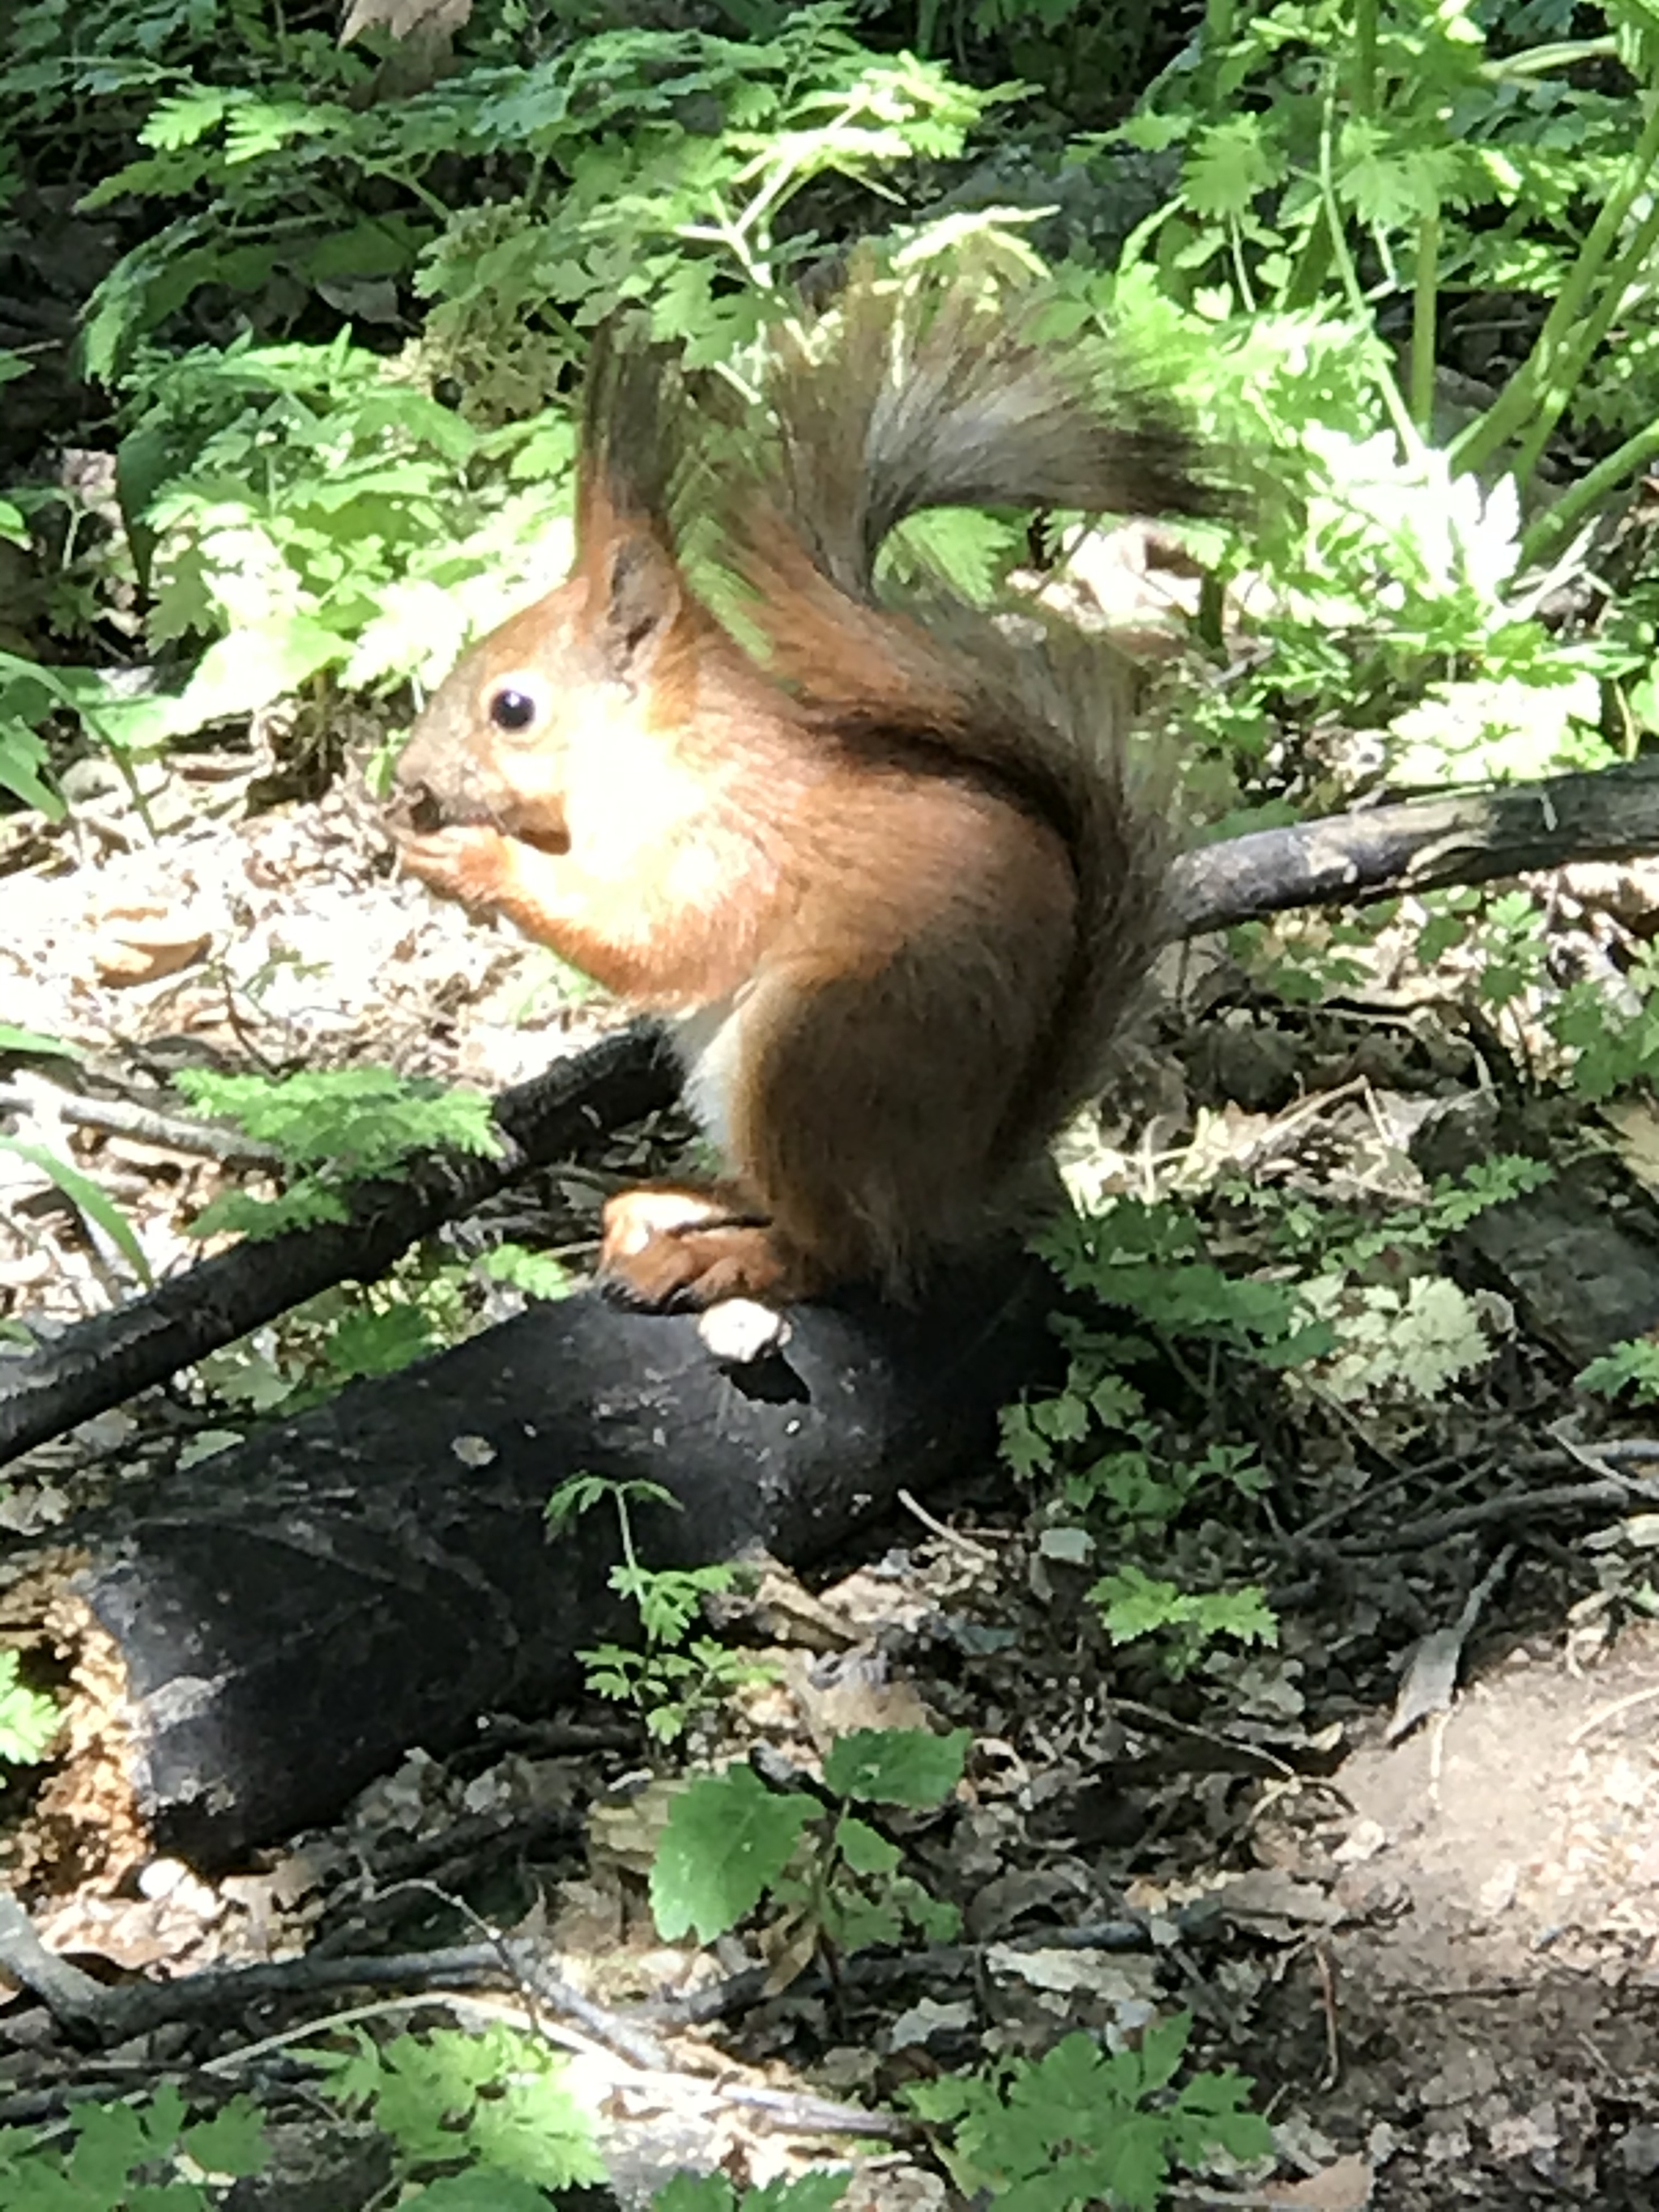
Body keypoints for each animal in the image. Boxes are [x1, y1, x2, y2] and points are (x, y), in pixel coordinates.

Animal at [389, 270, 1221, 1318]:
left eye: (513, 707)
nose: (408, 780)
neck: (663, 753)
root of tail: (952, 1190)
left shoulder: (730, 847)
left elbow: (652, 937)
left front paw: (471, 857)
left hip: (809, 1058)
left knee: (838, 1252)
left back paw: (721, 1259)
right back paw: (671, 1204)